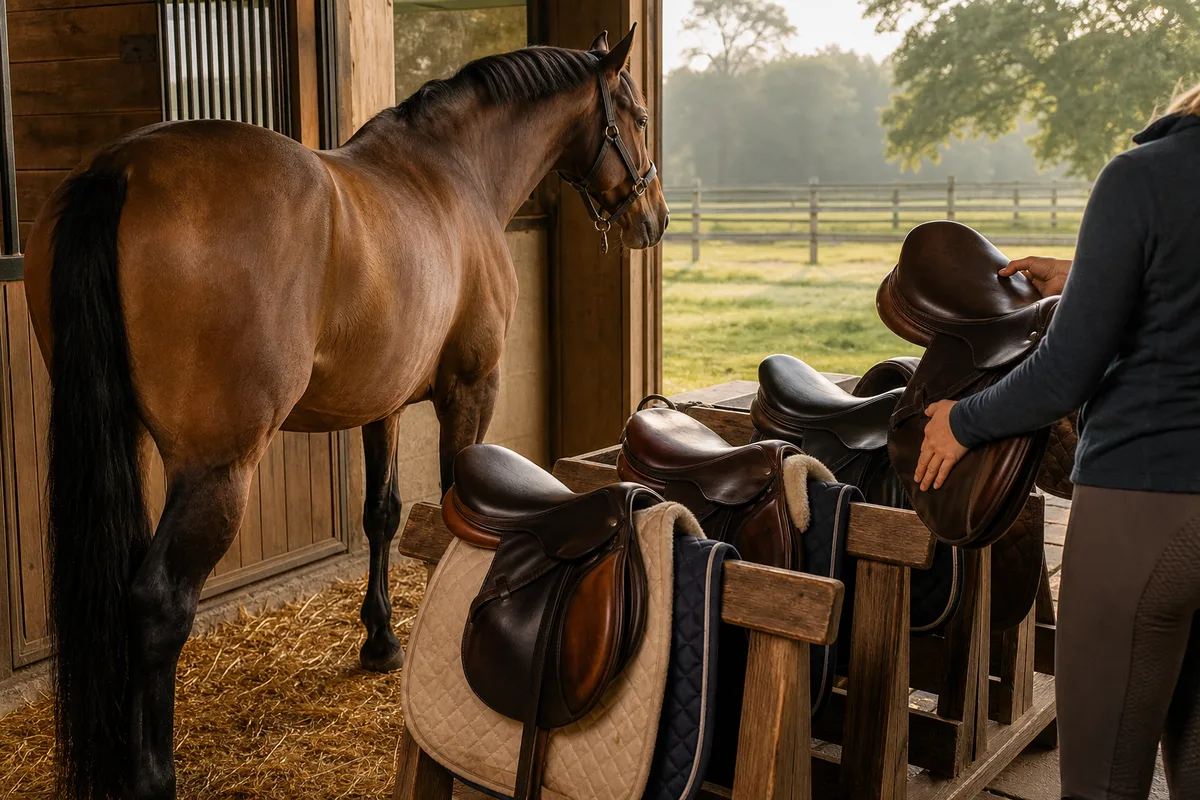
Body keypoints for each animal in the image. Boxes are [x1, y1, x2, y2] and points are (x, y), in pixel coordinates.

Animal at [22, 26, 667, 800]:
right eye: (638, 116)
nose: (654, 219)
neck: (456, 176)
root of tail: (119, 170)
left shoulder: (381, 404)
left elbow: (382, 515)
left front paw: (381, 642)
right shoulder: (471, 390)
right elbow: (456, 511)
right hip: (217, 469)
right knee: (156, 601)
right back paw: (152, 776)